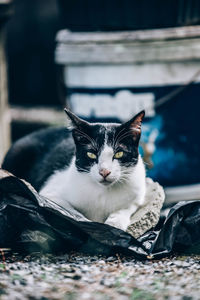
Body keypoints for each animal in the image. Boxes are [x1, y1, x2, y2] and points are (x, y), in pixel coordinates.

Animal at [2, 109, 146, 231]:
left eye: (119, 154)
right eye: (91, 154)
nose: (104, 172)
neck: (104, 192)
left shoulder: (138, 193)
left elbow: (127, 207)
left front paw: (115, 223)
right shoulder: (49, 193)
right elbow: (71, 213)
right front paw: (91, 226)